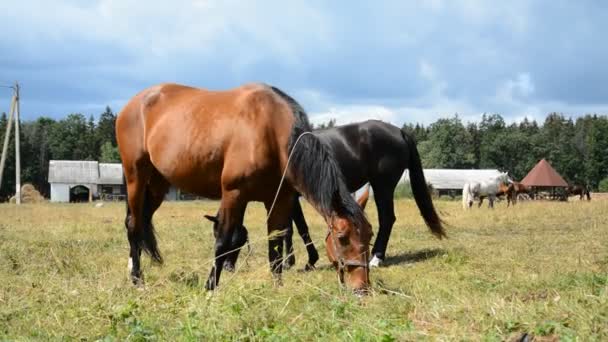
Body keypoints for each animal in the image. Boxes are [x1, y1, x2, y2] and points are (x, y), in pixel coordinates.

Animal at [114, 82, 370, 292]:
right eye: (342, 237)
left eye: (369, 234)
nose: (362, 288)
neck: (270, 131)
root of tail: (133, 103)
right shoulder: (233, 194)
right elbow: (223, 241)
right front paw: (210, 287)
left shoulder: (279, 200)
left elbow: (275, 246)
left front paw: (277, 288)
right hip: (136, 177)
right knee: (133, 225)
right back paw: (137, 279)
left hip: (158, 185)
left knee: (142, 222)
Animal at [226, 121, 444, 270]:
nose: (227, 267)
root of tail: (399, 131)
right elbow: (293, 228)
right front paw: (296, 261)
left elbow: (293, 229)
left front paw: (300, 262)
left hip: (382, 186)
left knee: (387, 219)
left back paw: (376, 258)